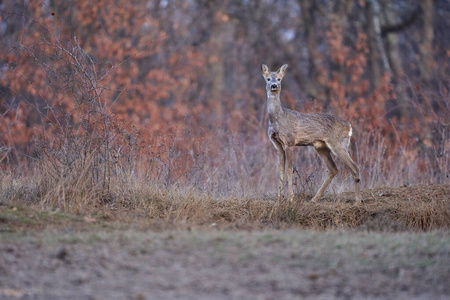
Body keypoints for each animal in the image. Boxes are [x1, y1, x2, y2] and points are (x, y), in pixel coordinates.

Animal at [260, 64, 362, 203]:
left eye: (279, 79)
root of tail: (349, 126)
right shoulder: (277, 145)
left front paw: (290, 198)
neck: (277, 119)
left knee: (354, 167)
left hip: (339, 144)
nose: (274, 85)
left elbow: (288, 169)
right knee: (333, 169)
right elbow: (280, 169)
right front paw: (279, 197)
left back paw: (358, 199)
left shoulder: (289, 142)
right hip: (321, 147)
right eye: (268, 78)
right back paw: (314, 198)